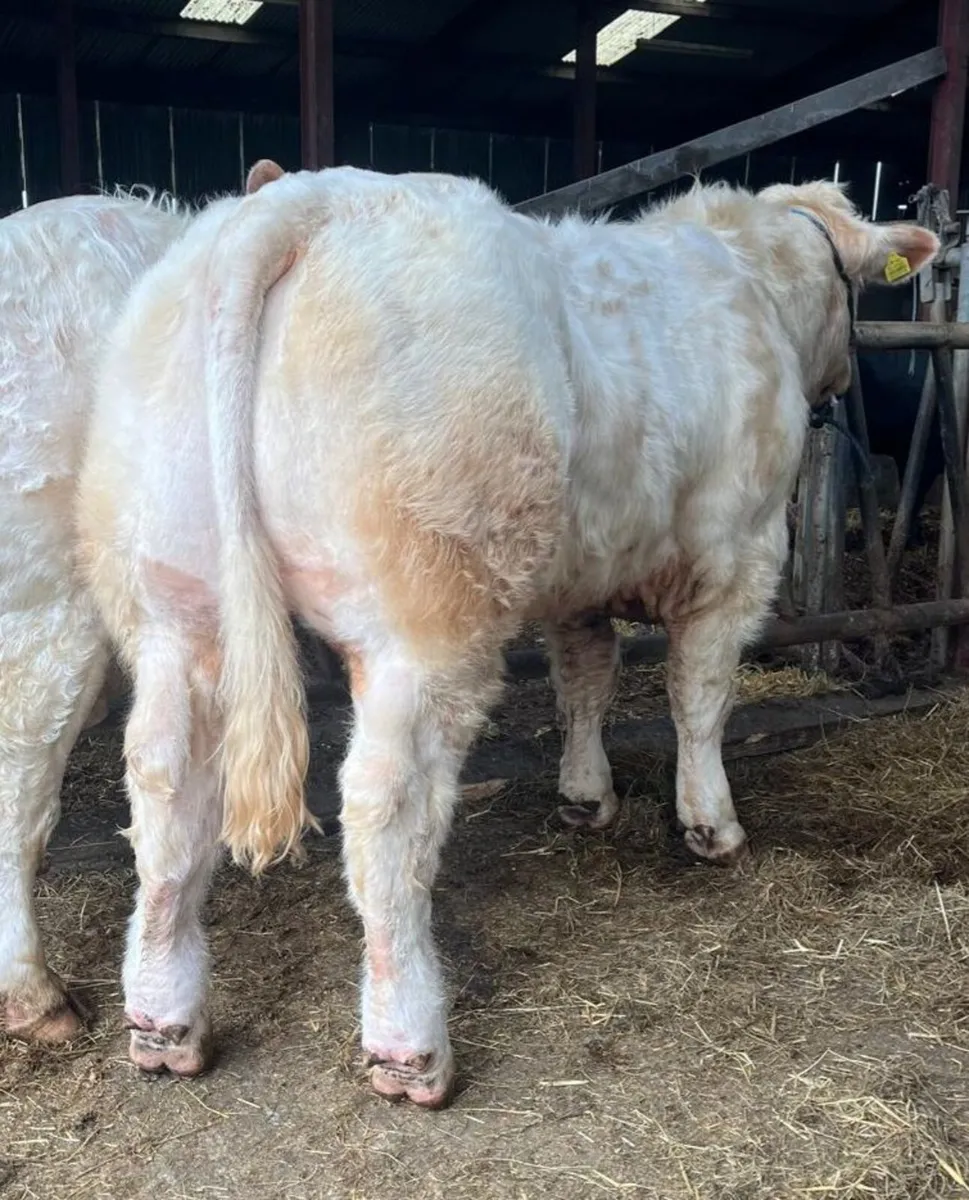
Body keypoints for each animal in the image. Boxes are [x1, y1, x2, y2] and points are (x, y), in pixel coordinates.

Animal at [75, 167, 937, 1106]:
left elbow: (585, 680)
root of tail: (303, 199)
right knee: (384, 808)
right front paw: (710, 823)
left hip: (172, 605)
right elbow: (698, 697)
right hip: (423, 623)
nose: (847, 377)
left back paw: (163, 1019)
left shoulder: (579, 577)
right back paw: (408, 1044)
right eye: (852, 294)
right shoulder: (737, 555)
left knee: (165, 786)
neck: (747, 277)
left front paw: (585, 796)